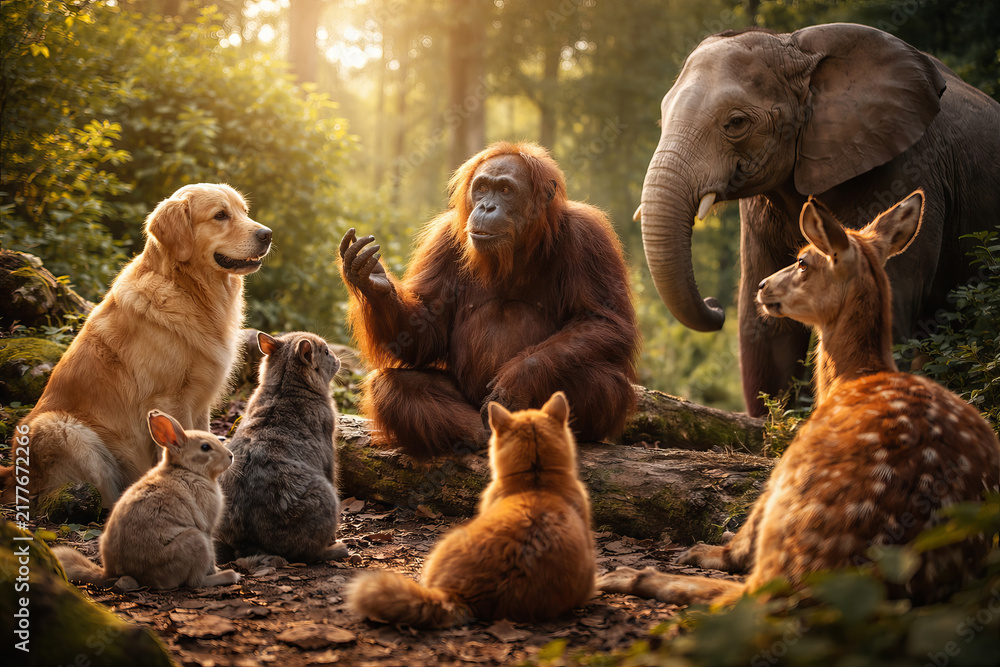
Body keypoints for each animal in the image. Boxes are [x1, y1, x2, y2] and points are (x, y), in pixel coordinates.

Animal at [635, 23, 1000, 417]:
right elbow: (764, 330)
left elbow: (892, 304)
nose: (715, 307)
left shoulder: (910, 166)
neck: (797, 49)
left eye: (736, 123)